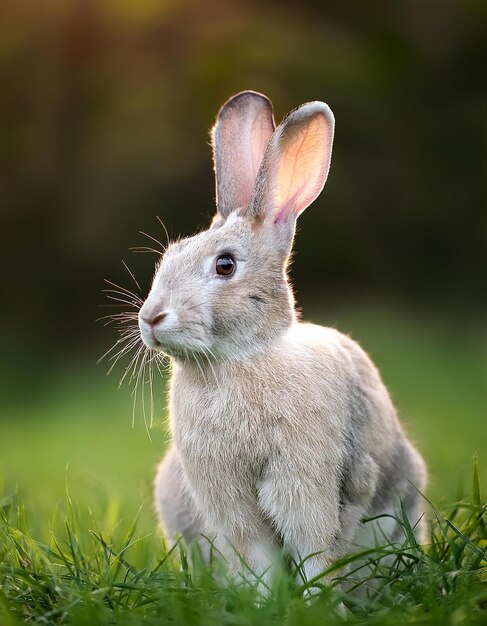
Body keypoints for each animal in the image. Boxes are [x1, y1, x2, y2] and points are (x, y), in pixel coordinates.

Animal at [138, 91, 428, 584]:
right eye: (169, 256)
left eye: (225, 265)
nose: (151, 318)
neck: (238, 359)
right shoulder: (229, 503)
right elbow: (258, 558)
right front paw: (264, 596)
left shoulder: (308, 482)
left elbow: (315, 551)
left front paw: (315, 596)